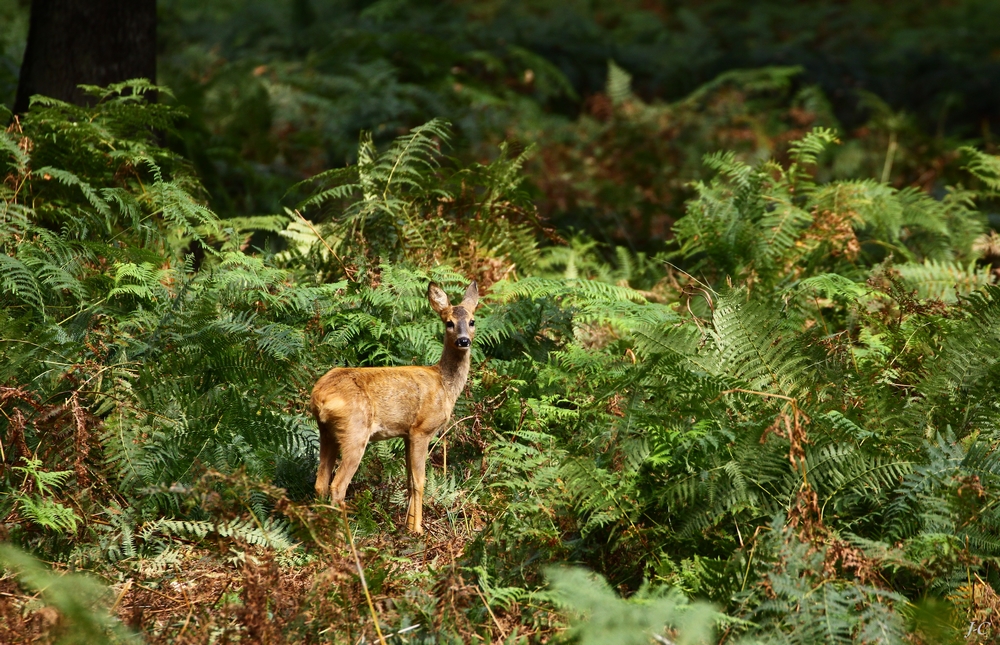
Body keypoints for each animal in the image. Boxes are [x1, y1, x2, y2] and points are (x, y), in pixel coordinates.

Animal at [314, 282, 482, 532]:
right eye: (449, 323)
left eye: (472, 321)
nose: (463, 341)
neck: (444, 385)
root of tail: (319, 396)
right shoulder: (422, 429)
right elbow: (420, 481)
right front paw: (418, 530)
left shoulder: (406, 433)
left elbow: (409, 480)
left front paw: (408, 526)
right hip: (355, 431)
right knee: (338, 484)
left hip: (326, 432)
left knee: (320, 482)